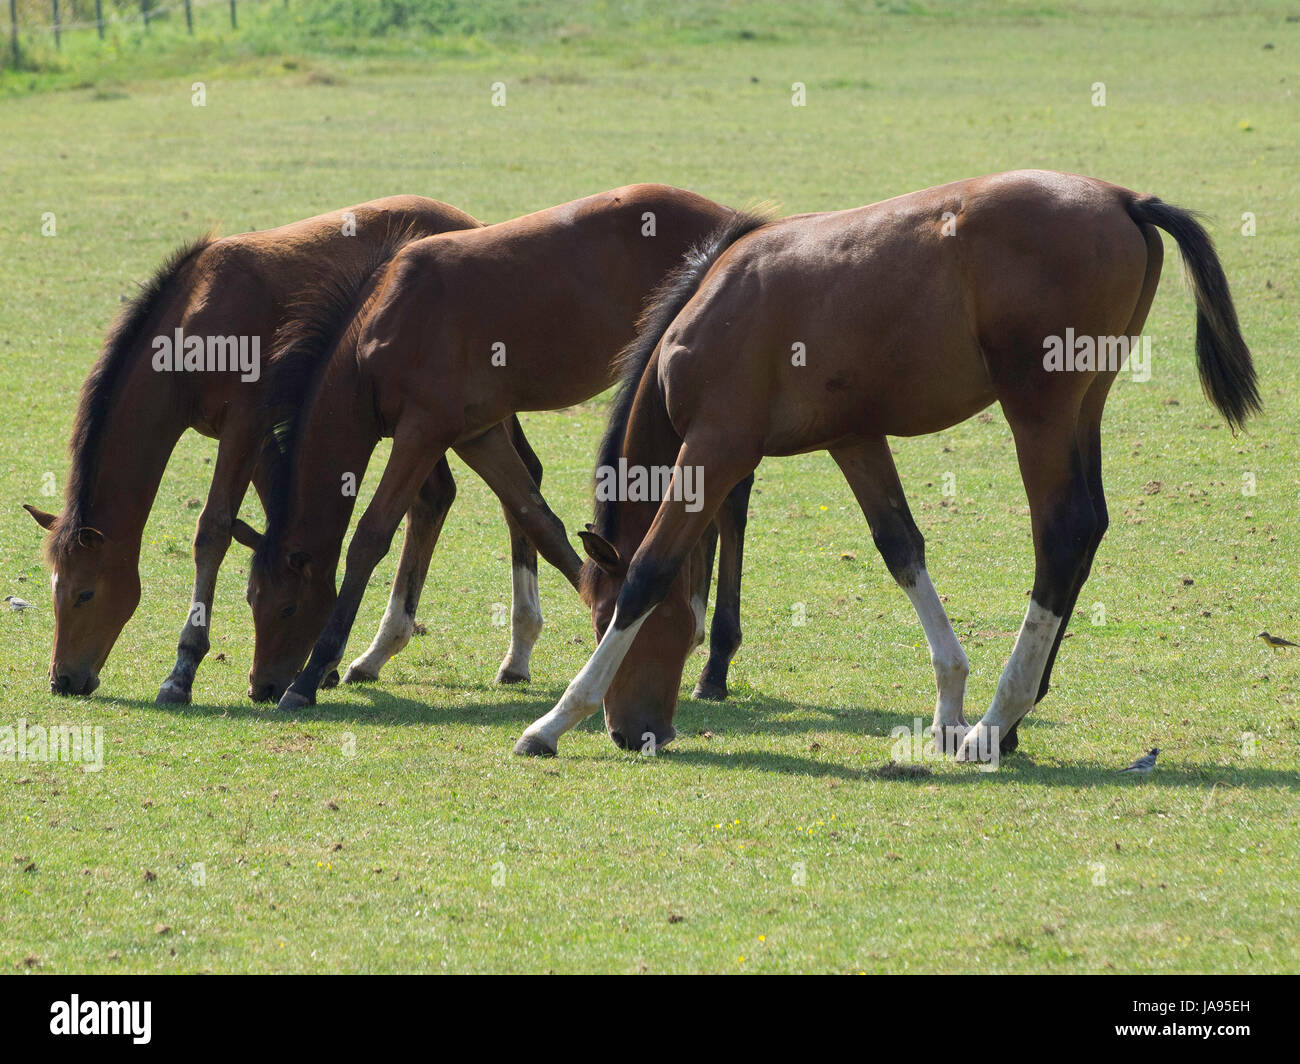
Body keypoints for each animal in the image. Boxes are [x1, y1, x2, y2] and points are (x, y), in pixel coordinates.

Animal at [22, 196, 496, 701]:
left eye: (84, 594)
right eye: (54, 590)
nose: (61, 679)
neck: (195, 318)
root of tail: (468, 221)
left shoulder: (244, 427)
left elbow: (213, 532)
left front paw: (183, 671)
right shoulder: (255, 438)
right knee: (433, 501)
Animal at [246, 185, 755, 711]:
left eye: (287, 607)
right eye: (251, 599)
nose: (261, 687)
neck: (385, 324)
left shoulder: (422, 432)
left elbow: (371, 537)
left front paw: (310, 676)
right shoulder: (477, 434)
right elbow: (540, 522)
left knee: (730, 505)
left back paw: (715, 659)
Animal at [512, 169, 1259, 760]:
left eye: (598, 617)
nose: (630, 732)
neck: (717, 307)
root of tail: (1124, 199)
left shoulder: (719, 446)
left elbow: (649, 571)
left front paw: (552, 722)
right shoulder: (856, 440)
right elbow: (902, 549)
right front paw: (948, 704)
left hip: (1038, 411)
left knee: (1064, 532)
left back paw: (998, 720)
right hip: (1084, 407)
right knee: (1089, 529)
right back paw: (1011, 718)